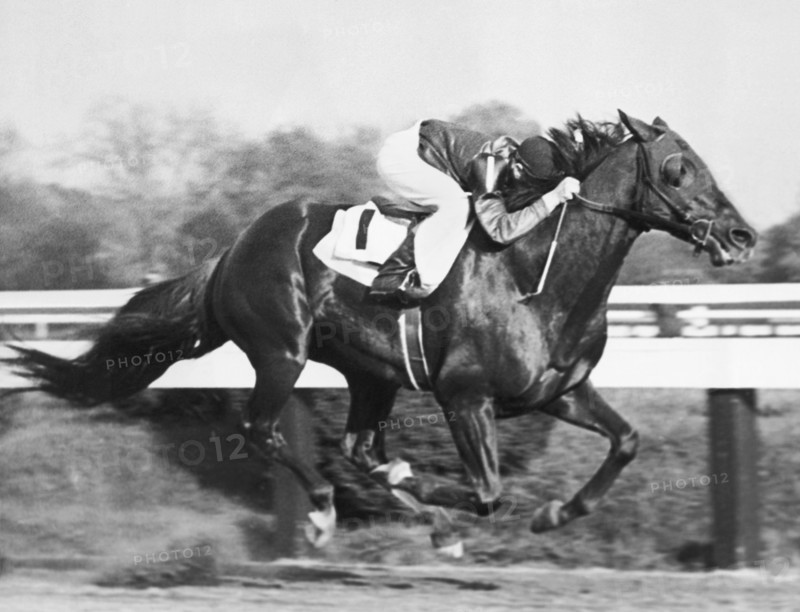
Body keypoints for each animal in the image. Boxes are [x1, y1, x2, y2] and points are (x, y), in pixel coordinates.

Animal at [7, 110, 757, 554]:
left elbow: (626, 441)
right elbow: (488, 494)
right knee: (264, 429)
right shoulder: (465, 398)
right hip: (282, 349)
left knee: (356, 444)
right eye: (678, 170)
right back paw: (322, 511)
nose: (741, 236)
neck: (534, 273)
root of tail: (233, 246)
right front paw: (451, 515)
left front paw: (553, 514)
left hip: (369, 371)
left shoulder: (557, 391)